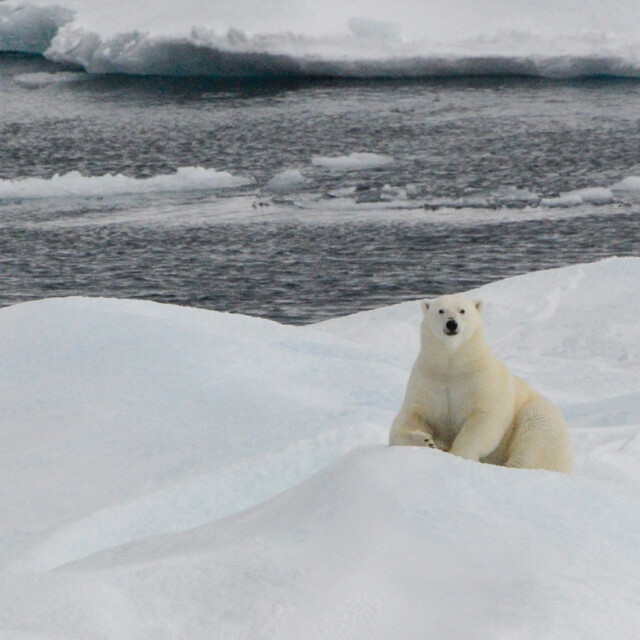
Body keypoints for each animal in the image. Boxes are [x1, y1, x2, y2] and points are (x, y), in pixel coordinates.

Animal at [389, 295, 572, 473]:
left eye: (462, 310)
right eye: (441, 310)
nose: (451, 324)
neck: (453, 364)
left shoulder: (481, 378)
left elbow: (485, 417)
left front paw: (458, 455)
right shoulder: (428, 379)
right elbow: (411, 417)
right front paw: (427, 441)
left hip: (537, 415)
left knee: (535, 432)